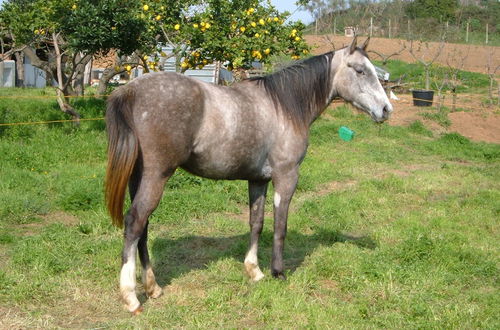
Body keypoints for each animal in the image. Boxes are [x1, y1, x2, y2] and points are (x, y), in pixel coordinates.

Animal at [107, 37, 392, 314]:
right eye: (360, 70)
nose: (386, 110)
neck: (284, 107)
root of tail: (130, 90)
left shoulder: (258, 180)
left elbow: (257, 223)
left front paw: (254, 271)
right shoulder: (286, 177)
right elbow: (280, 226)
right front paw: (278, 272)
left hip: (139, 178)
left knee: (143, 228)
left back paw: (152, 287)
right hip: (157, 176)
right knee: (135, 222)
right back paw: (131, 297)